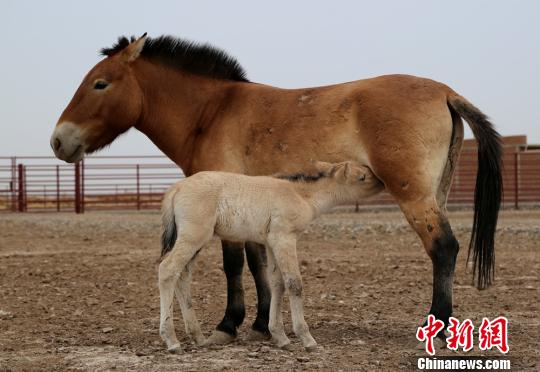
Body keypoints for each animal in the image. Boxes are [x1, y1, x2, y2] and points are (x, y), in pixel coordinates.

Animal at [158, 161, 382, 354]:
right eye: (362, 177)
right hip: (193, 236)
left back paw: (197, 337)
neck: (301, 195)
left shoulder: (271, 242)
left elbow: (277, 284)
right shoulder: (285, 239)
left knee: (183, 276)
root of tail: (176, 188)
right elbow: (294, 284)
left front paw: (281, 337)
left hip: (195, 241)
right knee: (167, 270)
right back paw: (172, 341)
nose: (382, 182)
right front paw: (307, 339)